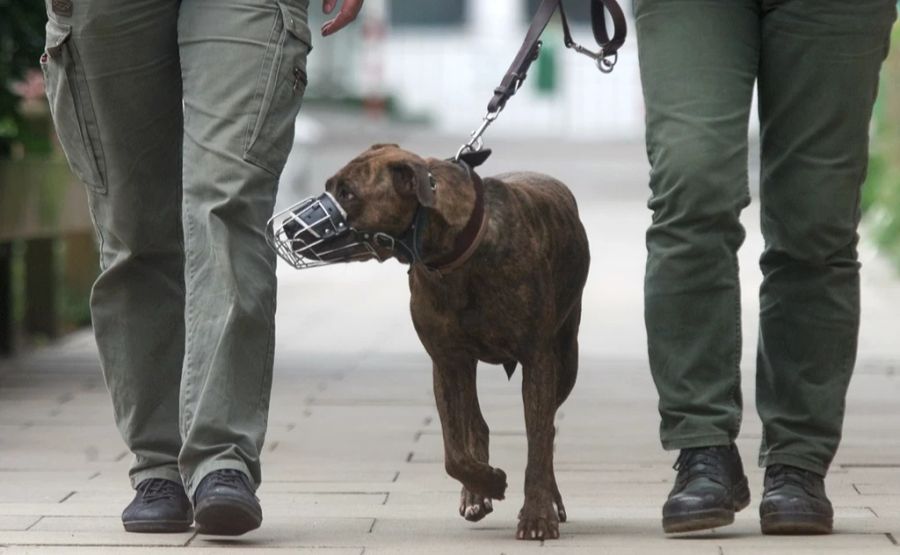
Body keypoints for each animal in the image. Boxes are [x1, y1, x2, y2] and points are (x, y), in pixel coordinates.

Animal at [324, 146, 592, 540]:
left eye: (347, 193)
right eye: (331, 187)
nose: (289, 229)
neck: (457, 255)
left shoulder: (538, 359)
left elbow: (538, 439)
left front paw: (537, 514)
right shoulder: (447, 361)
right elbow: (455, 452)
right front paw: (488, 483)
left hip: (565, 358)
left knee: (546, 431)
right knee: (475, 424)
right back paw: (476, 493)